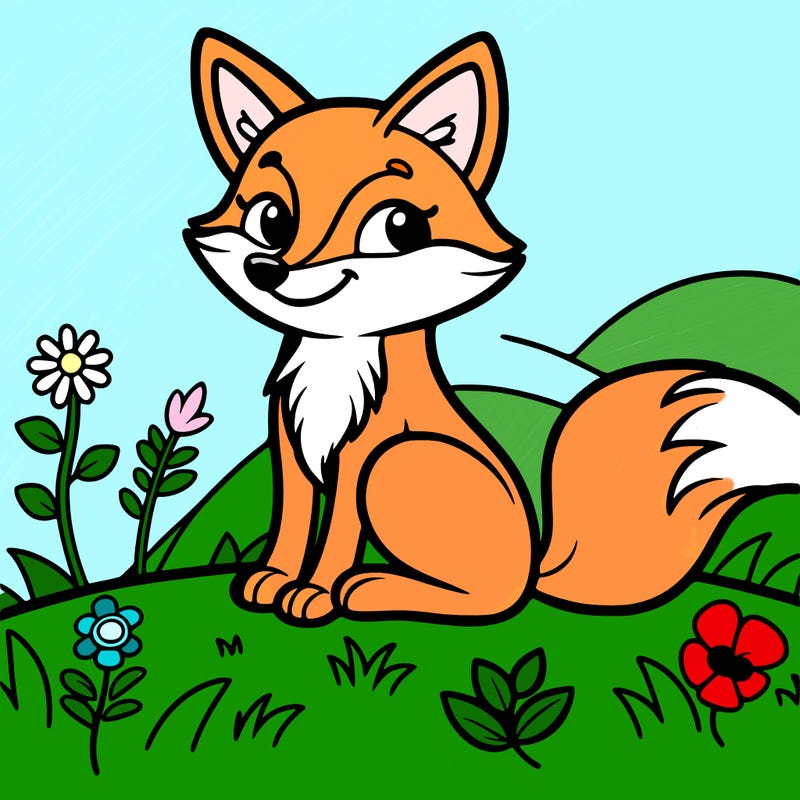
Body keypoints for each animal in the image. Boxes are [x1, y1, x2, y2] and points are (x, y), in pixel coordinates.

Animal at [184, 28, 800, 625]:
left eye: (397, 226)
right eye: (270, 218)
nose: (270, 269)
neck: (336, 359)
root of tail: (535, 566)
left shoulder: (359, 455)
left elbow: (335, 534)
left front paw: (312, 593)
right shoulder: (289, 446)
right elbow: (290, 523)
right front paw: (272, 580)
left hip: (399, 463)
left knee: (487, 599)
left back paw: (371, 589)